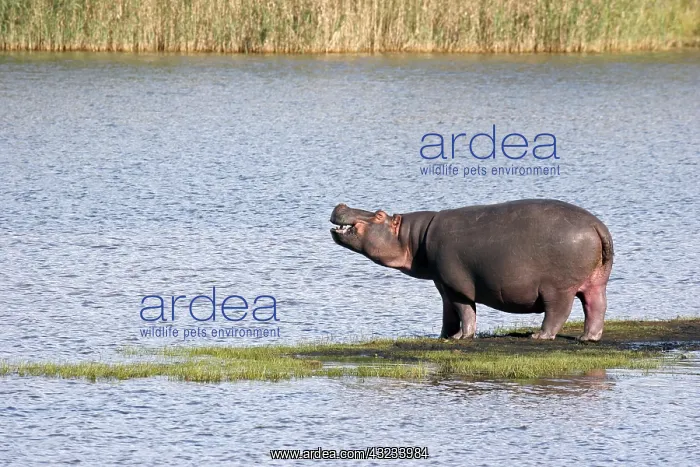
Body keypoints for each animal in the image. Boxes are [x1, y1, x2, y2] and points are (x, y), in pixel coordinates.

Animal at [330, 199, 614, 341]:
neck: (412, 238)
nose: (341, 204)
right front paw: (444, 336)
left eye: (379, 215)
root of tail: (598, 225)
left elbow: (465, 311)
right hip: (596, 281)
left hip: (558, 287)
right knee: (596, 306)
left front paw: (460, 337)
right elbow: (448, 313)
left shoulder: (456, 284)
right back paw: (588, 338)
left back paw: (539, 336)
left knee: (558, 312)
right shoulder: (442, 283)